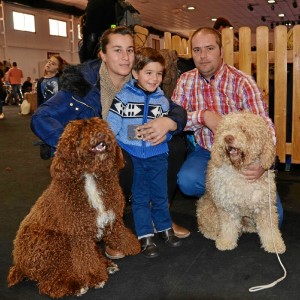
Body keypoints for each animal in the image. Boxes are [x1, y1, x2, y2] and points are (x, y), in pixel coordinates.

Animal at [7, 117, 141, 298]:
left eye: (102, 127)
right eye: (81, 133)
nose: (101, 135)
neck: (89, 174)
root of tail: (18, 264)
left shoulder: (111, 217)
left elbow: (118, 231)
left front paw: (130, 245)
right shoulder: (79, 235)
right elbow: (86, 260)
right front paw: (94, 277)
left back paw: (107, 265)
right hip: (53, 244)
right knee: (50, 282)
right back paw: (75, 286)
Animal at [197, 111, 286, 254]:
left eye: (244, 130)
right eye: (225, 129)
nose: (228, 138)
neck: (240, 170)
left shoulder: (264, 206)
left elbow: (270, 229)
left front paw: (275, 245)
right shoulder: (227, 206)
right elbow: (228, 227)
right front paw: (226, 242)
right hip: (207, 210)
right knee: (207, 227)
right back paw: (214, 234)